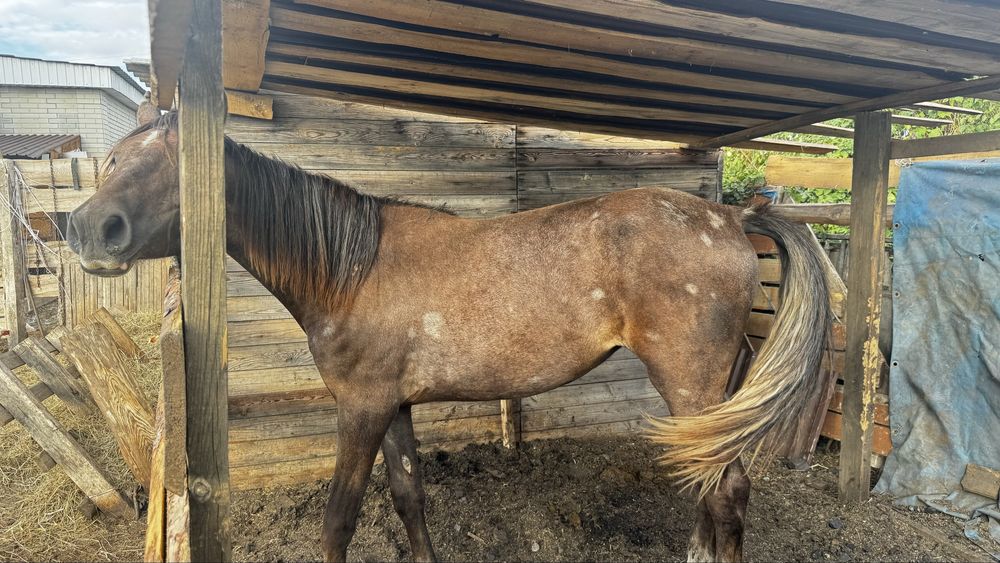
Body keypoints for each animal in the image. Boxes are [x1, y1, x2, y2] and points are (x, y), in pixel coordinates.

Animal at [66, 101, 830, 563]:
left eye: (171, 166)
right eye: (113, 162)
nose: (89, 230)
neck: (350, 268)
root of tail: (732, 216)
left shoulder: (361, 408)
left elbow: (340, 516)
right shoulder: (395, 406)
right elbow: (410, 498)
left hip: (690, 380)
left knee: (728, 490)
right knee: (711, 475)